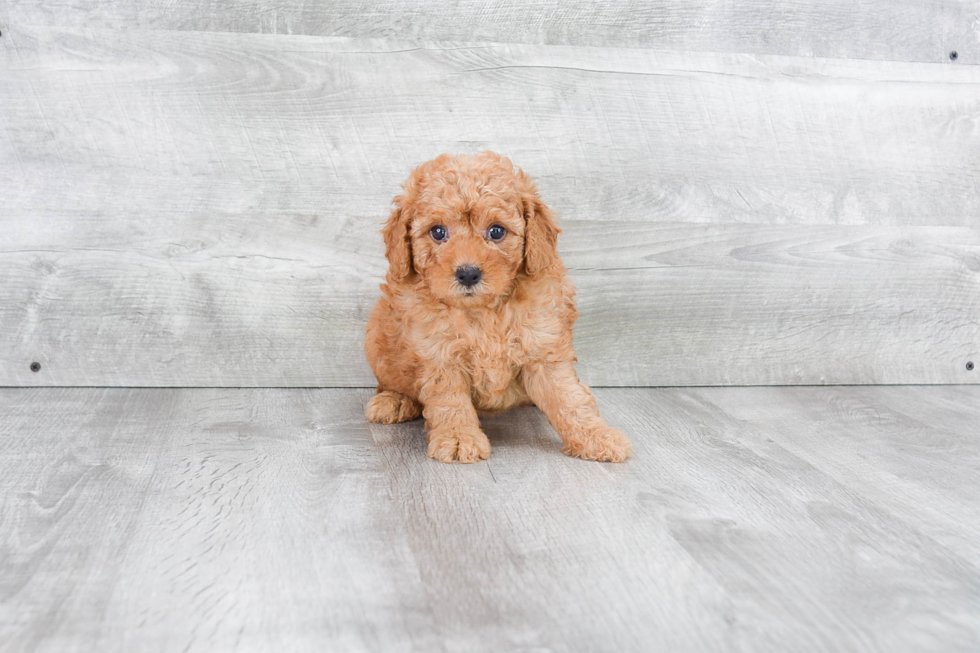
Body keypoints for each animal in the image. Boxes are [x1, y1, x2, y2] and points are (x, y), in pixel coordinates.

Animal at [364, 150, 632, 460]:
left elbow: (567, 398)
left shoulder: (543, 345)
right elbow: (450, 402)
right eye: (438, 232)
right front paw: (459, 438)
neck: (484, 311)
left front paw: (596, 436)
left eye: (496, 231)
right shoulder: (439, 355)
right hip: (378, 340)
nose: (468, 273)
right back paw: (394, 401)